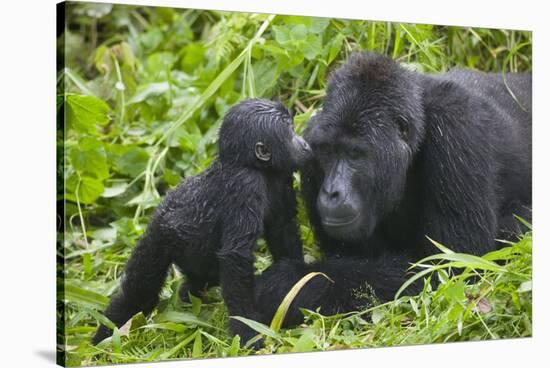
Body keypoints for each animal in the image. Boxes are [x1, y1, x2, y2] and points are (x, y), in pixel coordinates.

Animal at [92, 98, 312, 344]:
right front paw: (247, 330)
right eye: (290, 132)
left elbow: (283, 229)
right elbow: (236, 256)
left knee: (200, 279)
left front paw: (296, 281)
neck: (252, 165)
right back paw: (104, 337)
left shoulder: (281, 176)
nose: (304, 143)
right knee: (139, 293)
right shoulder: (245, 185)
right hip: (157, 238)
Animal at [256, 51, 532, 324]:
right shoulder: (311, 146)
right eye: (328, 152)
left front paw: (285, 284)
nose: (331, 192)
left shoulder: (458, 128)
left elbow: (452, 266)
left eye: (354, 154)